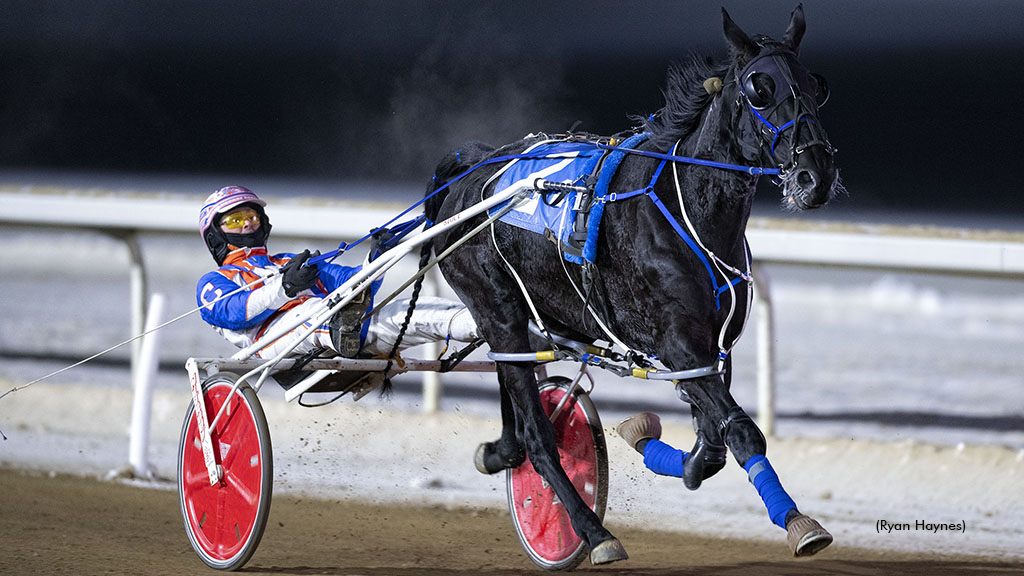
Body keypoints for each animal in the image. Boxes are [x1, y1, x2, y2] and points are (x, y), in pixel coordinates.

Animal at [407, 4, 839, 565]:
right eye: (759, 87)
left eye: (815, 84)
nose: (816, 175)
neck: (687, 206)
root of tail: (467, 171)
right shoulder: (676, 342)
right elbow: (742, 433)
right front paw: (798, 522)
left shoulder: (710, 349)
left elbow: (712, 443)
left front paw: (656, 441)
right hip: (497, 310)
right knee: (538, 438)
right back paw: (593, 533)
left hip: (523, 321)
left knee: (517, 416)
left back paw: (502, 451)